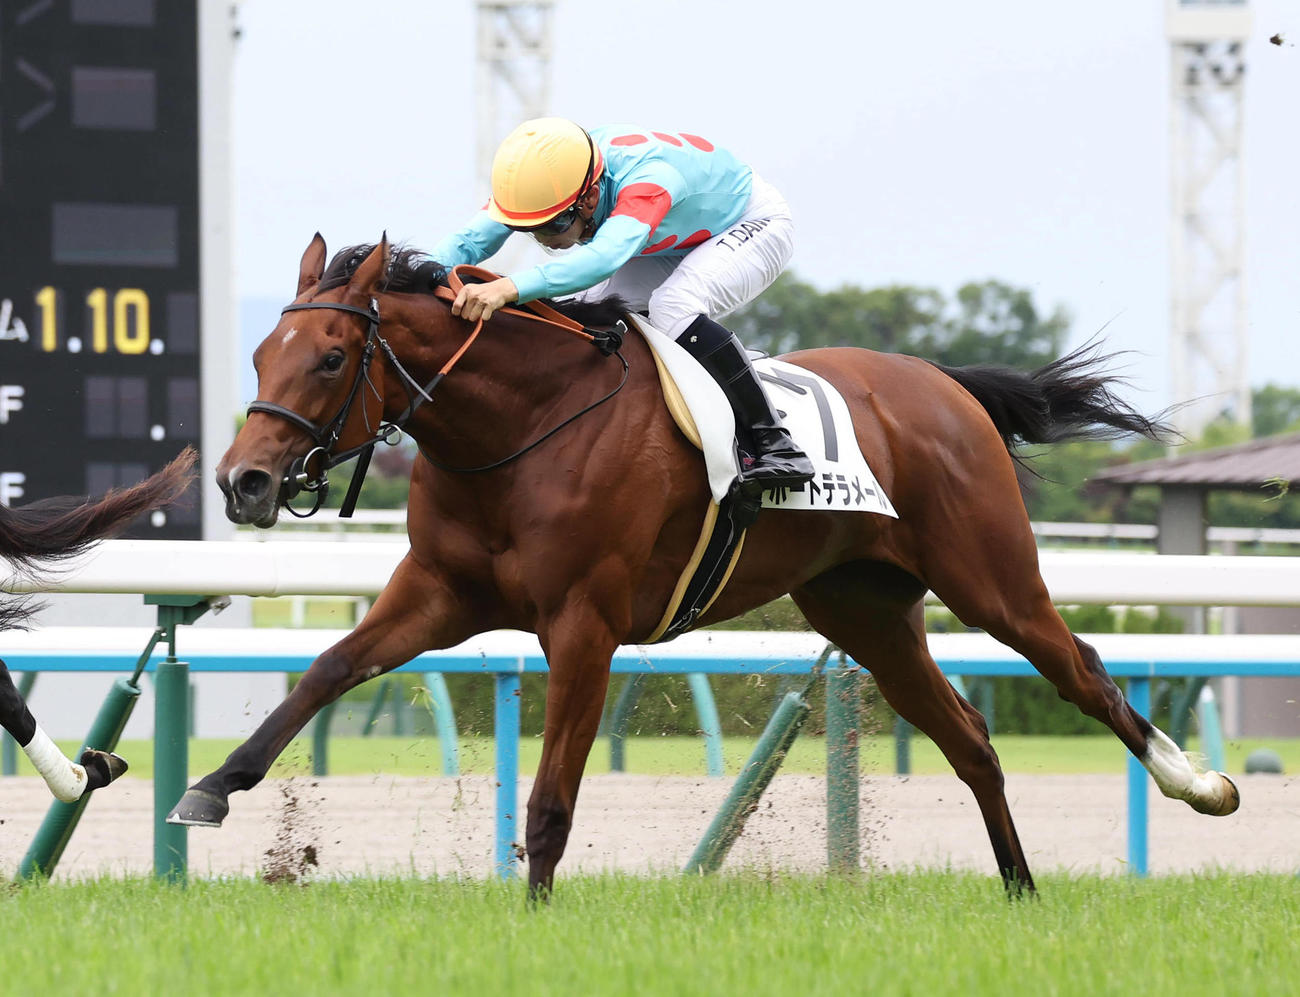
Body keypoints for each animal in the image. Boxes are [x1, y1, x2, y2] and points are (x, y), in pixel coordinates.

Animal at [170, 234, 1239, 896]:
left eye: (331, 356)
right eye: (262, 352)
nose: (244, 482)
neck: (517, 428)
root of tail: (946, 385)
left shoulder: (584, 621)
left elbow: (553, 791)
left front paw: (534, 908)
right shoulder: (439, 594)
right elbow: (327, 669)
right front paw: (213, 786)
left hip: (991, 577)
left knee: (1083, 671)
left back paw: (1201, 787)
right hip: (866, 612)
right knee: (971, 736)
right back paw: (1018, 885)